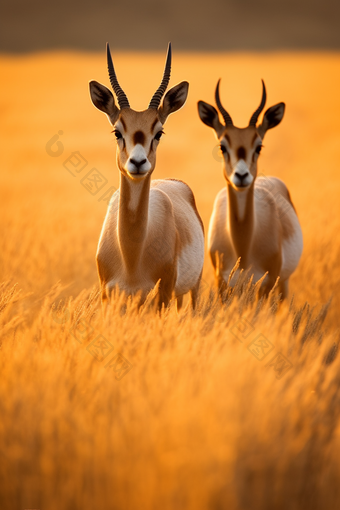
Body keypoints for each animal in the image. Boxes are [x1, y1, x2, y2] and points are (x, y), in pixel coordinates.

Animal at [89, 41, 203, 308]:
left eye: (158, 132)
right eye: (117, 131)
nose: (138, 162)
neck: (131, 257)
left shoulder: (162, 295)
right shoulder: (108, 297)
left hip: (191, 289)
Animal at [199, 79, 302, 298]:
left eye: (259, 146)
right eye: (222, 146)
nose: (241, 176)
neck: (243, 250)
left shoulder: (267, 285)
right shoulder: (222, 285)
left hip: (282, 284)